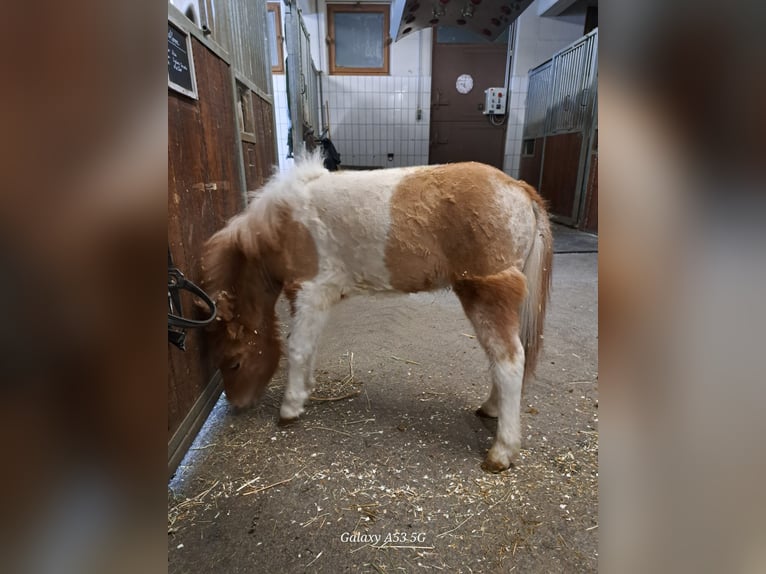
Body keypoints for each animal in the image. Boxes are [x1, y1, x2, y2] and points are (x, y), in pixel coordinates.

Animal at [204, 155, 552, 474]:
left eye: (234, 362)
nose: (239, 404)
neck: (284, 225)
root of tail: (518, 188)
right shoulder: (320, 298)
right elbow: (310, 345)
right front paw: (305, 391)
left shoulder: (308, 291)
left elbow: (297, 348)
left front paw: (290, 407)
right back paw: (491, 408)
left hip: (486, 296)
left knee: (509, 360)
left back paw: (502, 451)